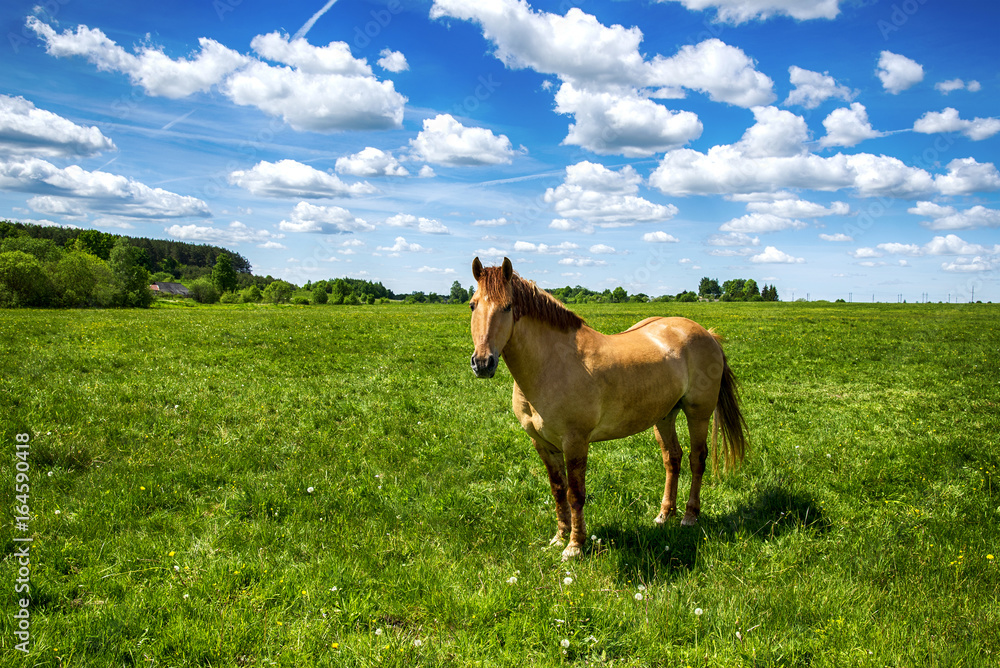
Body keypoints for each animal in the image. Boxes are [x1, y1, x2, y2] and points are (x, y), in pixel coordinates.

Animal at [468, 257, 747, 560]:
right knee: (673, 459)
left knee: (697, 459)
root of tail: (706, 333)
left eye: (507, 307)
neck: (552, 363)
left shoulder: (575, 442)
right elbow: (558, 490)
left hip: (698, 413)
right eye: (472, 305)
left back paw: (689, 516)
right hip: (664, 416)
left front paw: (575, 547)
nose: (482, 362)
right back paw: (664, 515)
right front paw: (559, 537)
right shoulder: (542, 444)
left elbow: (575, 494)